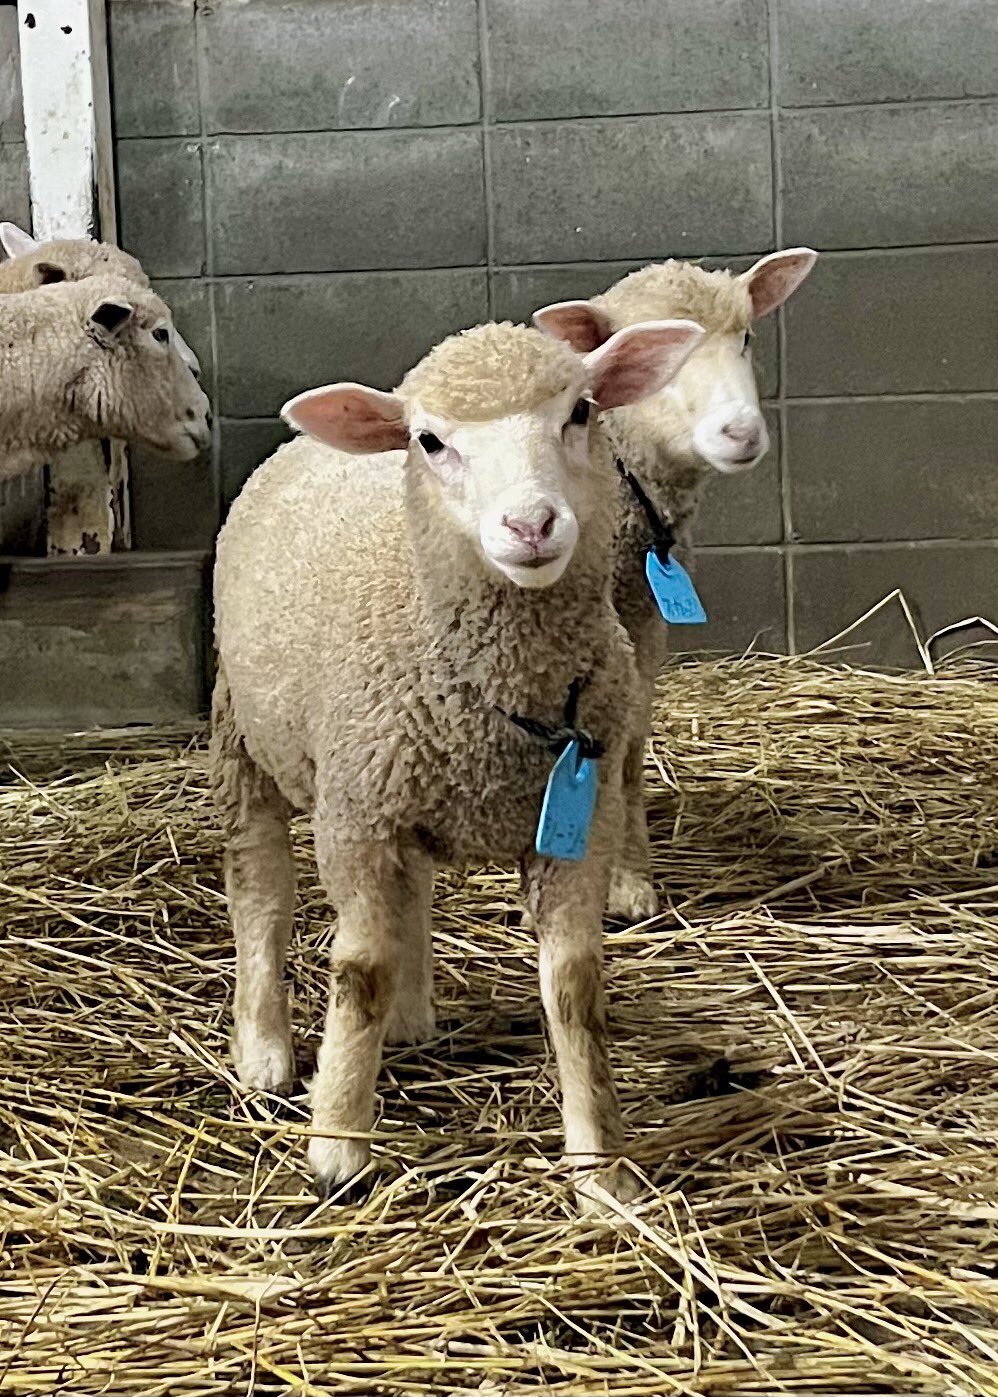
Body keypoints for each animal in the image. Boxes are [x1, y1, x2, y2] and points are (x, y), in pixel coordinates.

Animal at [211, 316, 705, 1204]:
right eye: (432, 442)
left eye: (581, 411)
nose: (532, 524)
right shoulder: (356, 817)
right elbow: (359, 970)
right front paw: (337, 1143)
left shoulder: (578, 828)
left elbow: (574, 987)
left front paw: (601, 1167)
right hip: (244, 732)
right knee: (260, 887)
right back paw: (264, 1049)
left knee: (414, 892)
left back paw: (411, 1018)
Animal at [534, 250, 818, 920]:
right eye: (658, 354)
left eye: (747, 336)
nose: (740, 433)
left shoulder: (645, 624)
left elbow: (630, 749)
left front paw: (630, 877)